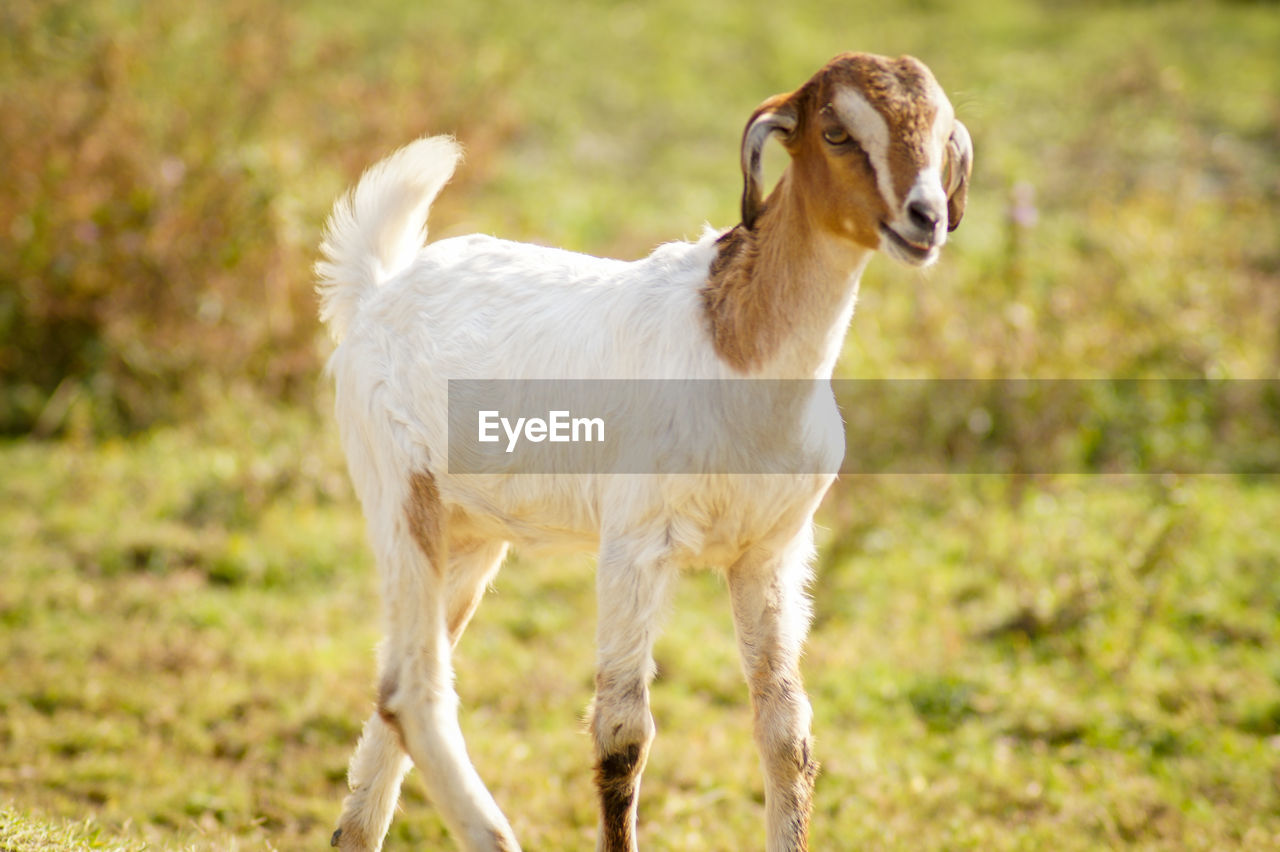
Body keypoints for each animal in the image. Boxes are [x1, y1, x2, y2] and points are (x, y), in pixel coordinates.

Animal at [317, 53, 967, 849]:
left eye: (940, 131)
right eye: (837, 132)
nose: (924, 218)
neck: (738, 350)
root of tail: (376, 290)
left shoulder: (771, 551)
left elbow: (787, 730)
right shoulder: (634, 544)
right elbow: (623, 732)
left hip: (468, 534)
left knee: (394, 690)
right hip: (398, 494)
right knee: (417, 689)